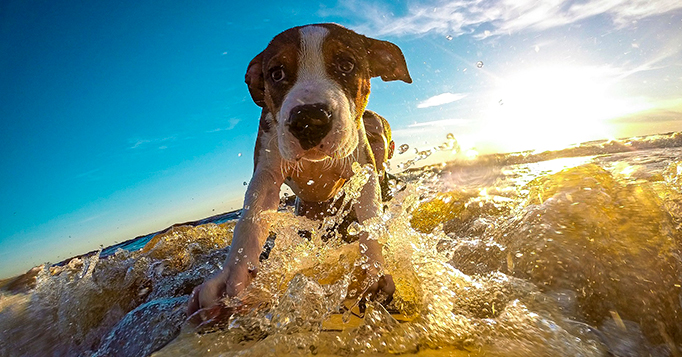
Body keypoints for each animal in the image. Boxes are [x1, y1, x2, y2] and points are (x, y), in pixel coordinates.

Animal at [186, 23, 410, 320]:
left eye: (346, 65)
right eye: (276, 73)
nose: (309, 119)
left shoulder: (363, 167)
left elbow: (370, 216)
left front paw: (372, 269)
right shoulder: (266, 171)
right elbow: (251, 220)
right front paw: (232, 277)